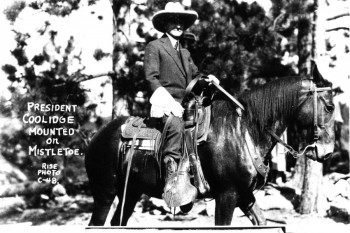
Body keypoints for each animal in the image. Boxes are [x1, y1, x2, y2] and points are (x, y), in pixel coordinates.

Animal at [84, 63, 334, 226]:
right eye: (330, 106)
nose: (327, 152)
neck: (244, 130)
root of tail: (97, 135)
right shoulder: (227, 195)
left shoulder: (245, 195)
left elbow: (261, 220)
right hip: (104, 192)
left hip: (131, 192)